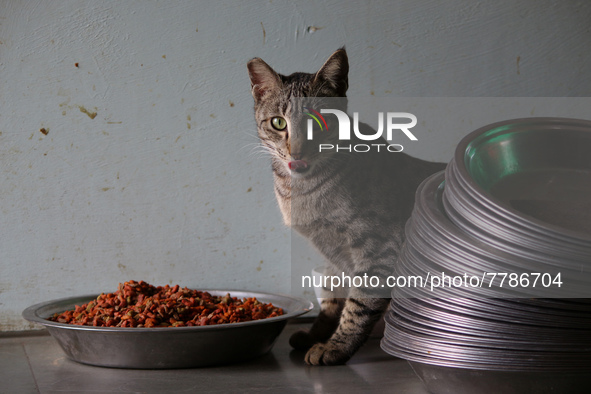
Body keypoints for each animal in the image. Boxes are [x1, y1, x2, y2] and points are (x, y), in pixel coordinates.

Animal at [247, 49, 446, 366]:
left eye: (319, 122)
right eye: (278, 123)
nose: (297, 151)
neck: (300, 191)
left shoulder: (380, 250)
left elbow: (359, 304)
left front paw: (336, 346)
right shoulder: (333, 257)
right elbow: (332, 299)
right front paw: (316, 335)